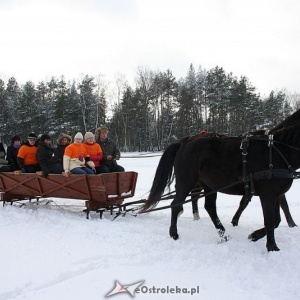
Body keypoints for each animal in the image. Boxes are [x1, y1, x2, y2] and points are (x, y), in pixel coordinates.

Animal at [142, 118, 300, 252]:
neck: (277, 150)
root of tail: (185, 142)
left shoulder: (275, 194)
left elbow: (276, 220)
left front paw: (255, 236)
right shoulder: (268, 195)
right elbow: (270, 220)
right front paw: (272, 247)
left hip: (209, 185)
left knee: (209, 207)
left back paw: (223, 235)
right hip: (186, 183)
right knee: (176, 204)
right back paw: (174, 234)